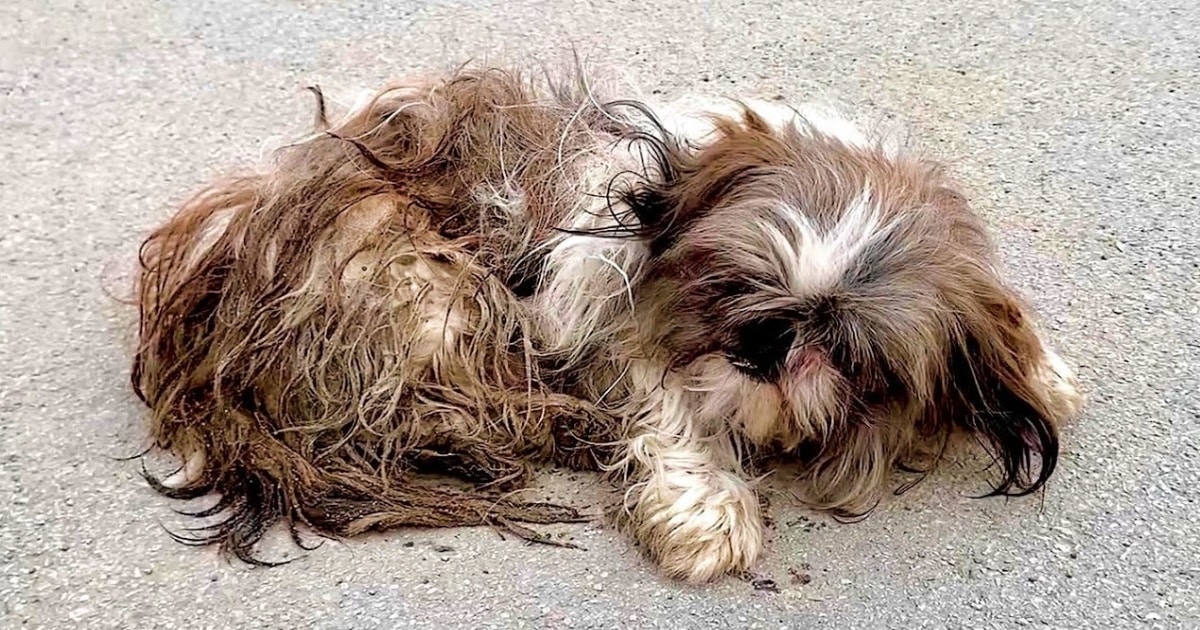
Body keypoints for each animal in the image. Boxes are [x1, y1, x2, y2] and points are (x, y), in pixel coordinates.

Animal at [131, 61, 1089, 583]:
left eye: (845, 352)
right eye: (734, 287)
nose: (763, 347)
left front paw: (1043, 370)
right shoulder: (601, 320)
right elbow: (665, 403)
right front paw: (708, 509)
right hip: (430, 284)